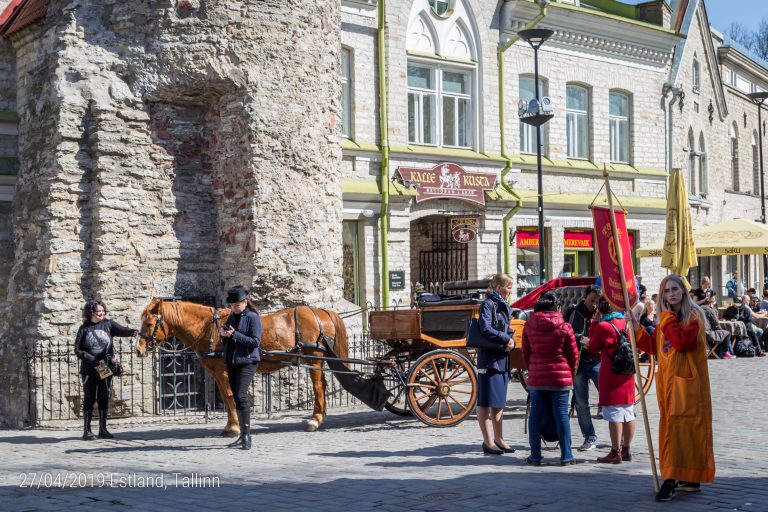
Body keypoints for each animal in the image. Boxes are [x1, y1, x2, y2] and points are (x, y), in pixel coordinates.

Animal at [138, 298, 352, 434]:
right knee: (323, 385)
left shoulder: (223, 370)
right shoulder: (218, 372)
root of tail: (321, 312)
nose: (138, 350)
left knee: (318, 387)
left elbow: (229, 396)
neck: (209, 328)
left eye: (149, 324)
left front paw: (233, 427)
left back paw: (314, 420)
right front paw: (234, 425)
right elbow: (228, 397)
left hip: (314, 359)